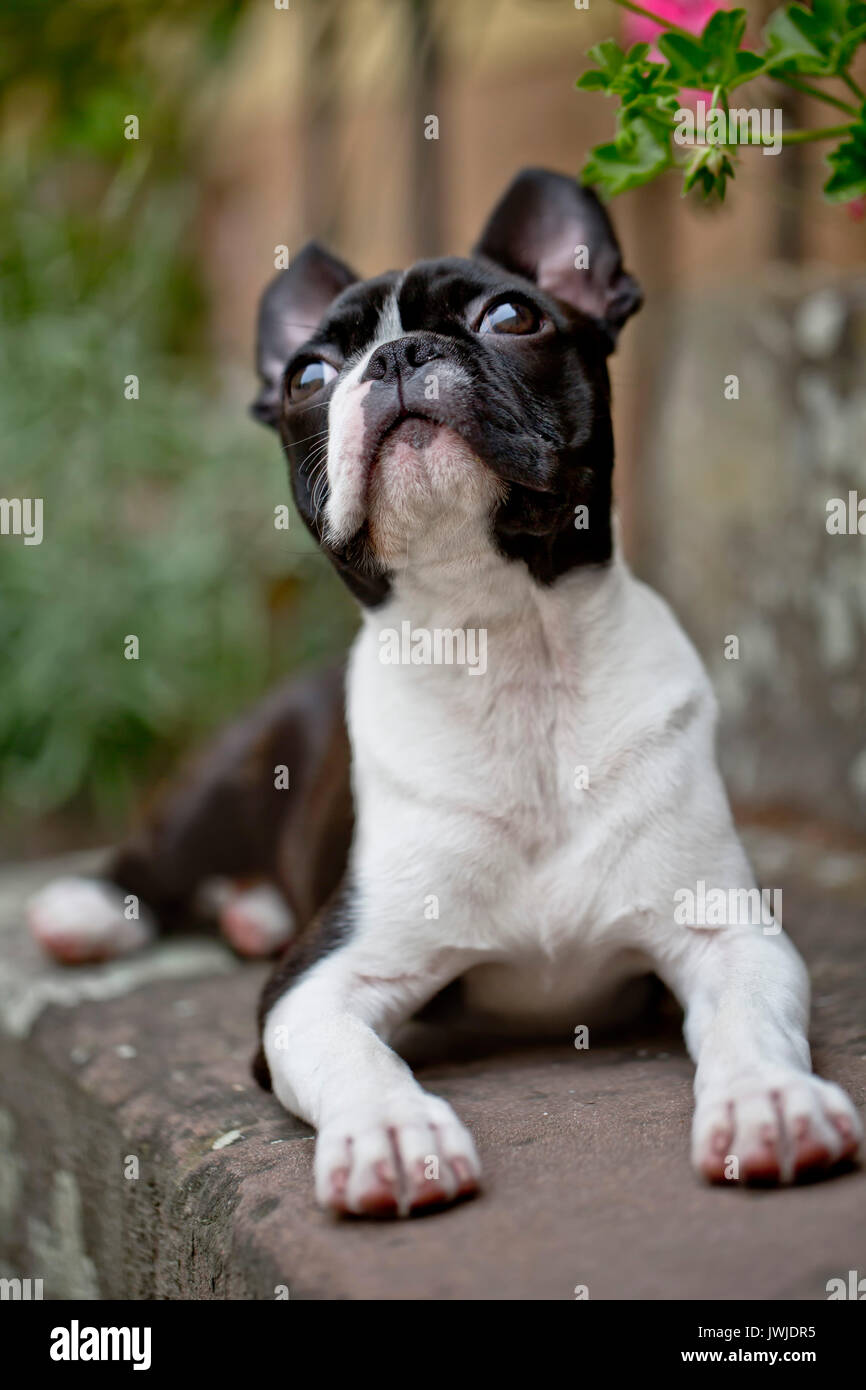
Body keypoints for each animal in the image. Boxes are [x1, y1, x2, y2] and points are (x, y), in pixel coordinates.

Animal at [27, 170, 861, 1217]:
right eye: (308, 374)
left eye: (510, 316)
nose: (395, 355)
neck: (504, 650)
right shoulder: (315, 987)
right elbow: (358, 1058)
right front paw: (394, 1133)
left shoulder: (727, 932)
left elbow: (753, 1019)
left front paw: (770, 1102)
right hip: (237, 764)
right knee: (160, 856)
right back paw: (88, 911)